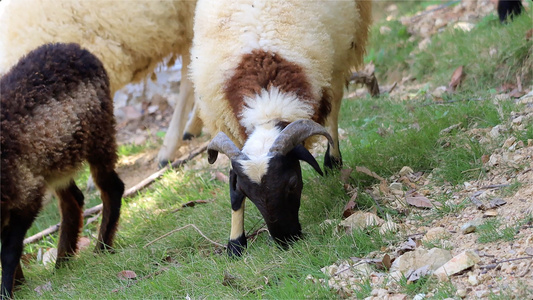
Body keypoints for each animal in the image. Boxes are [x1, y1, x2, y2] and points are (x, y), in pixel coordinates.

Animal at [190, 1, 370, 256]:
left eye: (293, 183)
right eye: (247, 192)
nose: (285, 239)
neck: (267, 112)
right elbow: (233, 196)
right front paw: (235, 243)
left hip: (343, 47)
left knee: (335, 103)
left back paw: (333, 159)